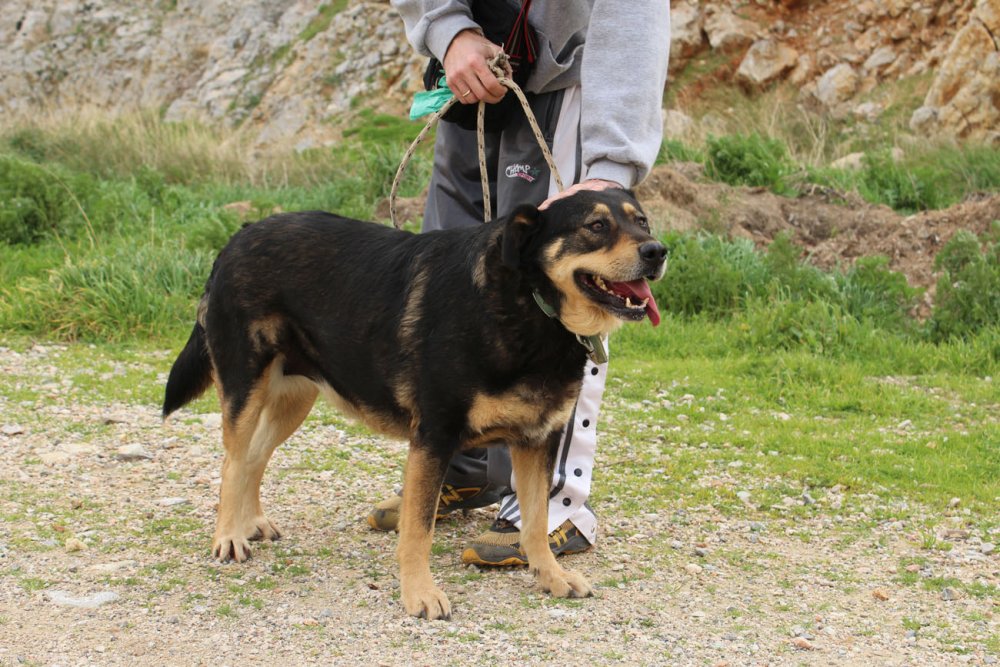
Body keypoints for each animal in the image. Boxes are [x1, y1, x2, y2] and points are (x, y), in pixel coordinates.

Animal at [164, 189, 664, 620]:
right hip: (245, 387)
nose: (658, 251)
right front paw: (420, 594)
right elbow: (418, 530)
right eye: (596, 226)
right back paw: (229, 536)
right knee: (232, 461)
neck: (530, 305)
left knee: (253, 457)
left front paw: (551, 577)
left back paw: (251, 522)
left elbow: (538, 521)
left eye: (641, 221)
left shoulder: (536, 441)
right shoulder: (434, 437)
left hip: (294, 397)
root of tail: (240, 235)